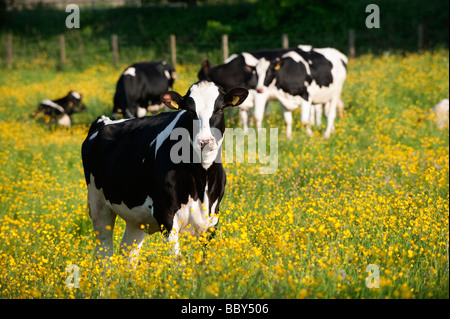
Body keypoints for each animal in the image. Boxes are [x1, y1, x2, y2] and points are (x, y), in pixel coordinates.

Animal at [81, 80, 250, 264]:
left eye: (219, 109)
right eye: (190, 111)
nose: (205, 141)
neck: (202, 178)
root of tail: (104, 121)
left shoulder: (212, 219)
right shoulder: (166, 215)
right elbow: (178, 262)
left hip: (136, 217)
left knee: (128, 255)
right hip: (99, 206)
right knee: (104, 254)